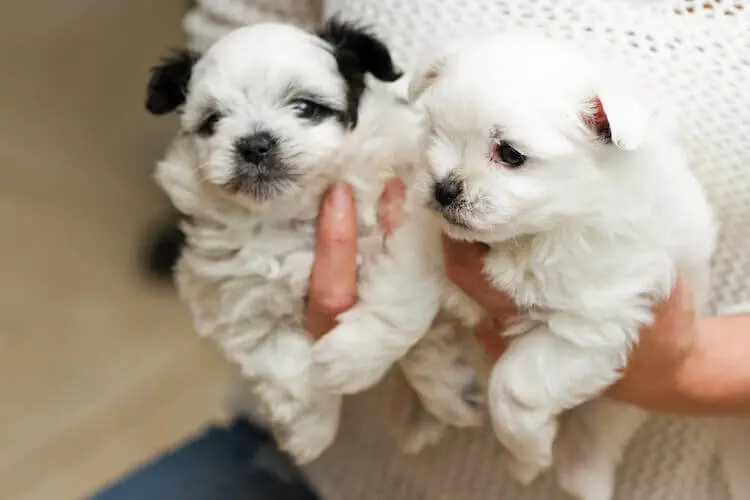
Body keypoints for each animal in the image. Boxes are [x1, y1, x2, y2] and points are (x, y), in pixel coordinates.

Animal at [146, 19, 484, 464]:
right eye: (214, 121)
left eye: (305, 108)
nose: (254, 143)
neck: (299, 211)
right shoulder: (237, 297)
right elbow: (281, 359)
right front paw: (311, 428)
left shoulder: (410, 229)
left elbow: (404, 307)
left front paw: (360, 361)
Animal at [314, 33, 720, 498]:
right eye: (435, 133)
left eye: (510, 154)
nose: (443, 189)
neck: (524, 236)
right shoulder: (424, 239)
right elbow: (399, 304)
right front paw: (350, 356)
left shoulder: (591, 322)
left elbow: (514, 386)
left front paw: (527, 451)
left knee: (597, 429)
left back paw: (577, 472)